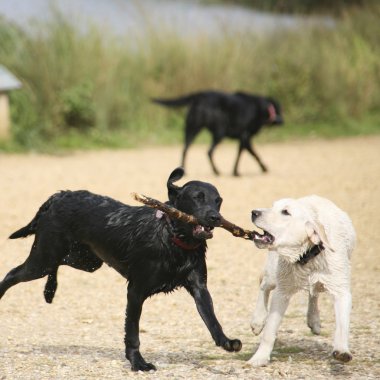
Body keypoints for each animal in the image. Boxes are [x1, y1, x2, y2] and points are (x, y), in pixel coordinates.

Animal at [0, 168, 242, 372]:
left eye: (218, 201)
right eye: (197, 197)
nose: (215, 218)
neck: (173, 239)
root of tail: (58, 196)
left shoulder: (199, 287)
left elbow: (211, 319)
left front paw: (226, 342)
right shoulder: (135, 291)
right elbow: (133, 332)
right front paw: (138, 363)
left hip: (85, 260)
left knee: (58, 265)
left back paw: (50, 291)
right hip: (44, 258)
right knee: (13, 273)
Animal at [153, 90, 284, 177]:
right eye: (279, 109)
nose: (282, 121)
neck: (261, 107)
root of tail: (201, 96)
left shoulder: (243, 139)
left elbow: (243, 154)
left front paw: (236, 171)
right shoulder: (245, 137)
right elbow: (253, 154)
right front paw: (262, 168)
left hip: (192, 129)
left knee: (185, 149)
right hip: (219, 132)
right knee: (209, 151)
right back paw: (216, 171)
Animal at [248, 194, 354, 366]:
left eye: (286, 212)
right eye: (273, 206)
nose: (254, 212)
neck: (309, 252)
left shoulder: (341, 290)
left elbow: (342, 325)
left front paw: (342, 351)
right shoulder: (281, 292)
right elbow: (269, 330)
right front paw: (259, 358)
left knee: (314, 293)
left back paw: (314, 320)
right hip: (273, 272)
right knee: (264, 286)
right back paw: (257, 320)